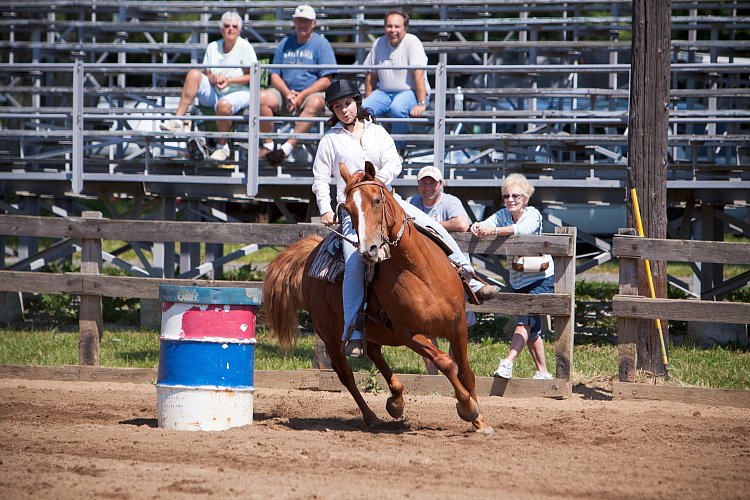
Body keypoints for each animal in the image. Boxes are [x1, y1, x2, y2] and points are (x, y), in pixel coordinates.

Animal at [264, 162, 494, 432]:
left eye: (376, 200)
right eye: (348, 208)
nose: (368, 250)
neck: (419, 270)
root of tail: (311, 252)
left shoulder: (458, 326)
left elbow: (465, 372)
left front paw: (480, 421)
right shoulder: (409, 333)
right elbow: (445, 362)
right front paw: (467, 407)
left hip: (377, 330)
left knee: (374, 352)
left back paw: (396, 400)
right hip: (331, 337)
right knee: (346, 375)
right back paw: (372, 415)